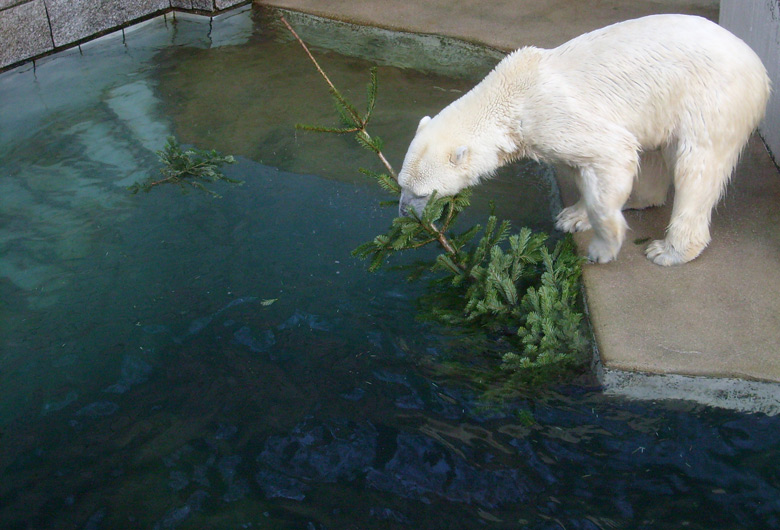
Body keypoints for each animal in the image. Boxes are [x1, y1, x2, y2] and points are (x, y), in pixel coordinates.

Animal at [400, 13, 772, 264]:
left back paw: (669, 250)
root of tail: (760, 68)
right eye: (401, 184)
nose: (404, 213)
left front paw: (601, 247)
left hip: (711, 100)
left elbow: (613, 151)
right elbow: (584, 167)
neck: (510, 93)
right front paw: (572, 216)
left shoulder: (549, 116)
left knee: (696, 168)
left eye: (422, 193)